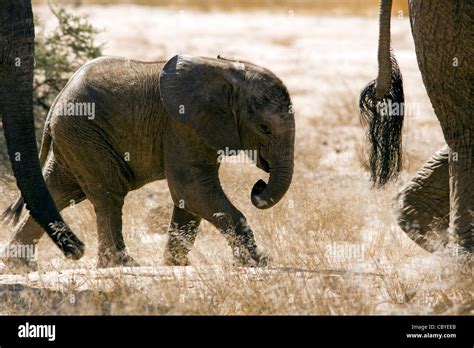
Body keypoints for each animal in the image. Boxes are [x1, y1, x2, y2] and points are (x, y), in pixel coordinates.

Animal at [2, 54, 292, 268]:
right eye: (264, 128)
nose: (258, 185)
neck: (230, 70)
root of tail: (56, 102)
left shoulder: (199, 128)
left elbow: (189, 196)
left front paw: (175, 264)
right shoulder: (181, 125)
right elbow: (192, 189)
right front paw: (259, 262)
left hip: (75, 137)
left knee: (59, 191)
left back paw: (20, 264)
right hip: (84, 133)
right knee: (108, 193)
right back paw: (120, 264)